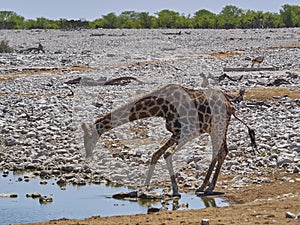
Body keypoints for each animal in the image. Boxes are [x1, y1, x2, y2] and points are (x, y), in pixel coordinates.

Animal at [82, 83, 258, 196]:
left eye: (88, 138)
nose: (88, 155)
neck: (160, 108)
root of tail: (230, 105)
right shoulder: (175, 133)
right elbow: (156, 154)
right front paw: (143, 188)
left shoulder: (186, 132)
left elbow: (166, 154)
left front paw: (175, 190)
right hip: (213, 128)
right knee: (221, 151)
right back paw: (203, 186)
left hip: (218, 127)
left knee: (221, 151)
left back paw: (208, 188)